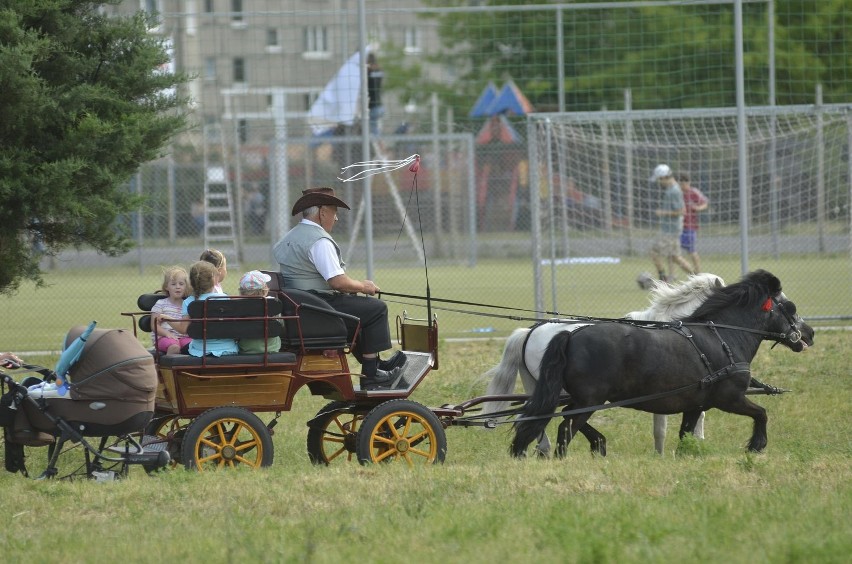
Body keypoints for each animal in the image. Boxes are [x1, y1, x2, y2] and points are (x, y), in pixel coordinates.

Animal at [510, 270, 816, 458]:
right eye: (790, 307)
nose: (809, 334)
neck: (723, 336)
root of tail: (569, 335)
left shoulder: (695, 405)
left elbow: (685, 436)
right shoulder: (729, 398)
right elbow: (761, 413)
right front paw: (756, 446)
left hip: (580, 398)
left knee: (560, 420)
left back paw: (595, 445)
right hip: (589, 399)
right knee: (565, 428)